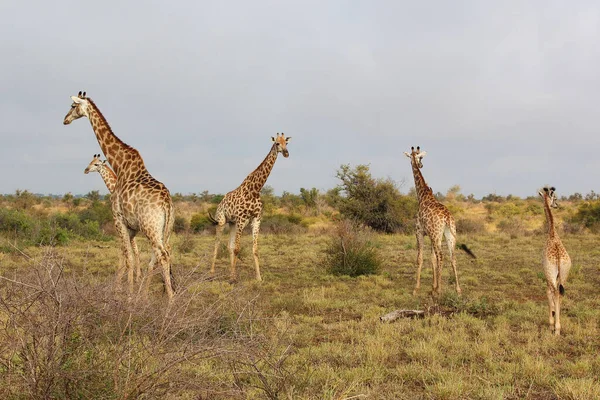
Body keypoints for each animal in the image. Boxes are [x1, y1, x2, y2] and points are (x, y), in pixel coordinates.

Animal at [64, 90, 175, 296]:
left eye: (73, 106)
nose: (65, 119)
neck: (120, 165)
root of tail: (167, 204)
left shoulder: (118, 218)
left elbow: (128, 257)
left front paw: (127, 296)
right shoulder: (131, 227)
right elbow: (125, 257)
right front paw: (126, 292)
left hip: (150, 227)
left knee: (162, 256)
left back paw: (170, 301)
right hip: (165, 229)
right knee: (161, 255)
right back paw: (151, 296)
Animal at [210, 134, 292, 282]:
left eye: (286, 143)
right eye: (277, 143)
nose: (286, 153)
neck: (255, 190)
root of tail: (221, 202)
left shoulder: (256, 219)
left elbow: (254, 250)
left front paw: (258, 277)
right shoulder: (242, 219)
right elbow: (237, 249)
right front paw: (233, 278)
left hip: (232, 223)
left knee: (229, 246)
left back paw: (230, 272)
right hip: (222, 221)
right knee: (217, 243)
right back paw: (212, 272)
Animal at [404, 146, 474, 296]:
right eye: (419, 157)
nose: (420, 165)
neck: (422, 195)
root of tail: (447, 217)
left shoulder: (419, 231)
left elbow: (420, 258)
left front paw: (417, 289)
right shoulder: (433, 235)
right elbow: (432, 259)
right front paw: (432, 287)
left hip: (437, 234)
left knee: (441, 255)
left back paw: (440, 291)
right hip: (448, 233)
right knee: (452, 257)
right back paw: (458, 289)